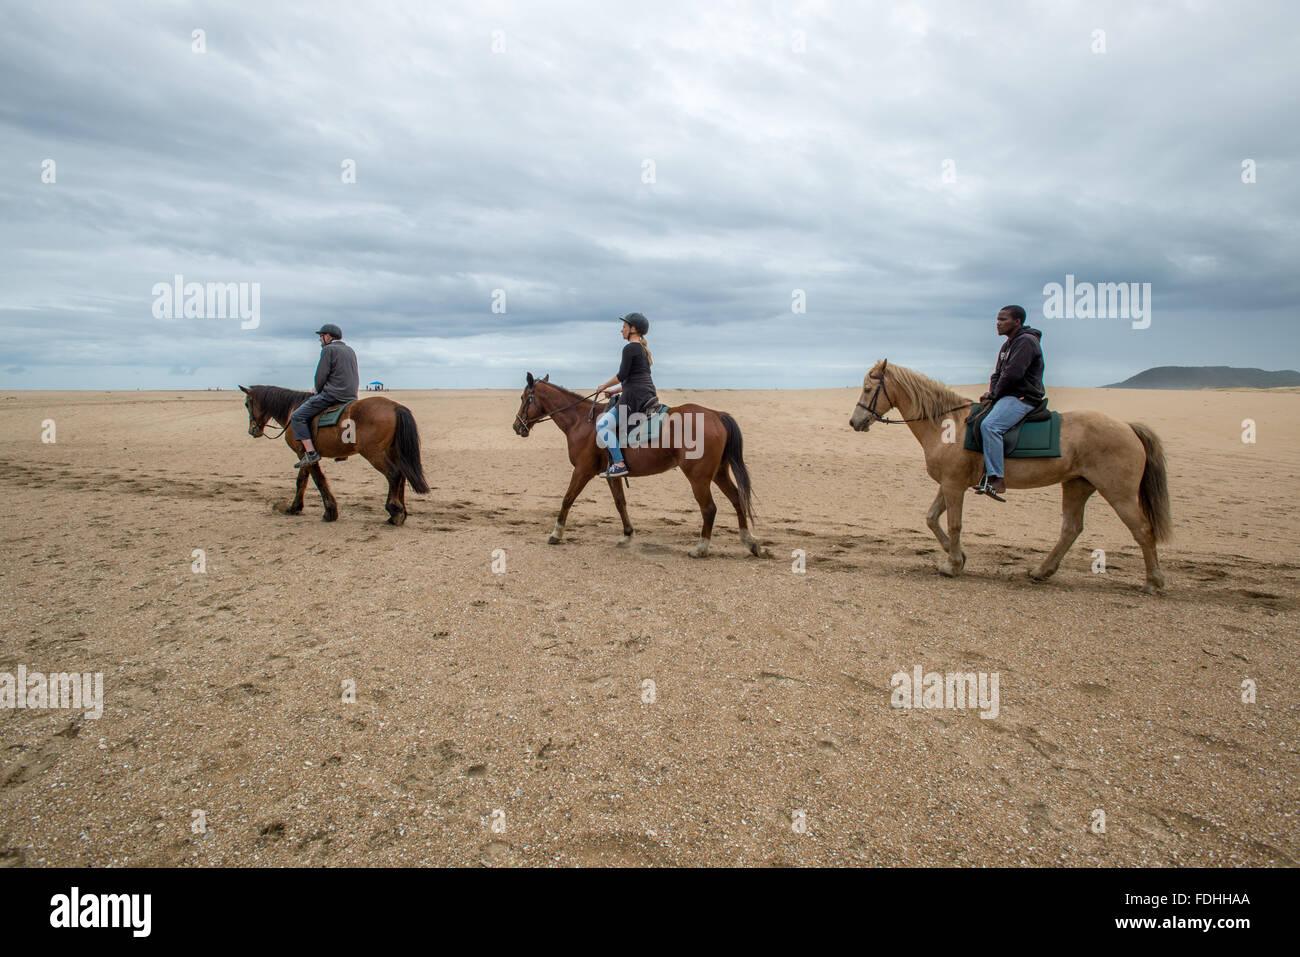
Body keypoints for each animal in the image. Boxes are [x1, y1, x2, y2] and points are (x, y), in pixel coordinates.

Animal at [239, 384, 431, 527]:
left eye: (247, 405)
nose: (252, 430)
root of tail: (395, 406)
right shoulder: (304, 455)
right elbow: (302, 480)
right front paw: (294, 508)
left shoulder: (304, 454)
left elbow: (319, 480)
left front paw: (330, 512)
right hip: (392, 451)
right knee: (402, 476)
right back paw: (400, 511)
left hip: (373, 453)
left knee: (394, 474)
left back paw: (395, 511)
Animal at [509, 369, 769, 556]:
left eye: (524, 398)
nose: (516, 426)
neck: (581, 420)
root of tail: (716, 414)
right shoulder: (611, 474)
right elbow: (620, 503)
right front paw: (627, 535)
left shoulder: (582, 471)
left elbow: (567, 499)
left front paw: (556, 534)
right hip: (719, 473)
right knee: (736, 499)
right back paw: (750, 542)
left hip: (699, 477)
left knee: (709, 508)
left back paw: (701, 548)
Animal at [847, 361, 1175, 595]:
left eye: (868, 389)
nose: (854, 421)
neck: (947, 424)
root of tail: (1127, 427)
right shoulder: (950, 484)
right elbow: (931, 519)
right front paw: (958, 556)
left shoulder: (953, 485)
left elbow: (953, 524)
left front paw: (953, 565)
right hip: (1077, 485)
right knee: (1071, 528)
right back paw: (1042, 572)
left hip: (1118, 492)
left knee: (1142, 531)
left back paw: (1153, 582)